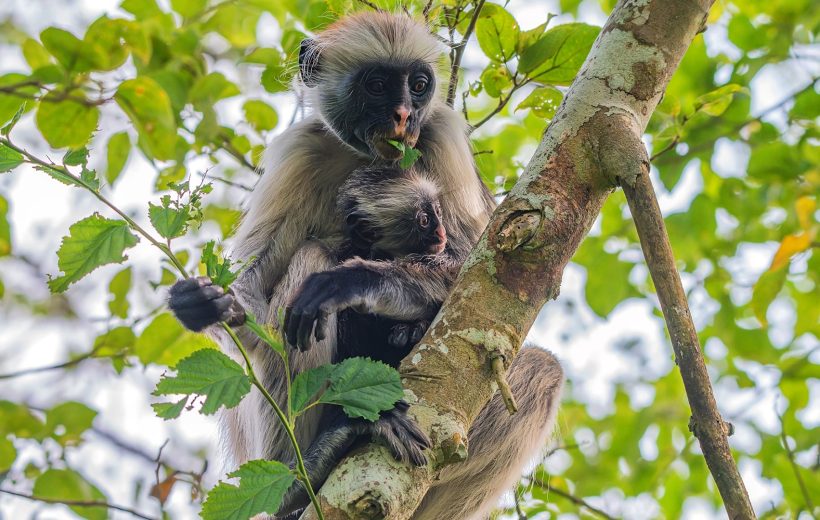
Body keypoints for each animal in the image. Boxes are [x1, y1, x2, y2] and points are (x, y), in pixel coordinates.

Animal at [167, 12, 564, 520]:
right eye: (376, 86)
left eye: (418, 85)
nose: (403, 115)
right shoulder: (300, 149)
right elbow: (253, 299)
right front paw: (210, 303)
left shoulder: (443, 134)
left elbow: (485, 271)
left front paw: (358, 280)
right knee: (307, 267)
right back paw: (301, 475)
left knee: (542, 371)